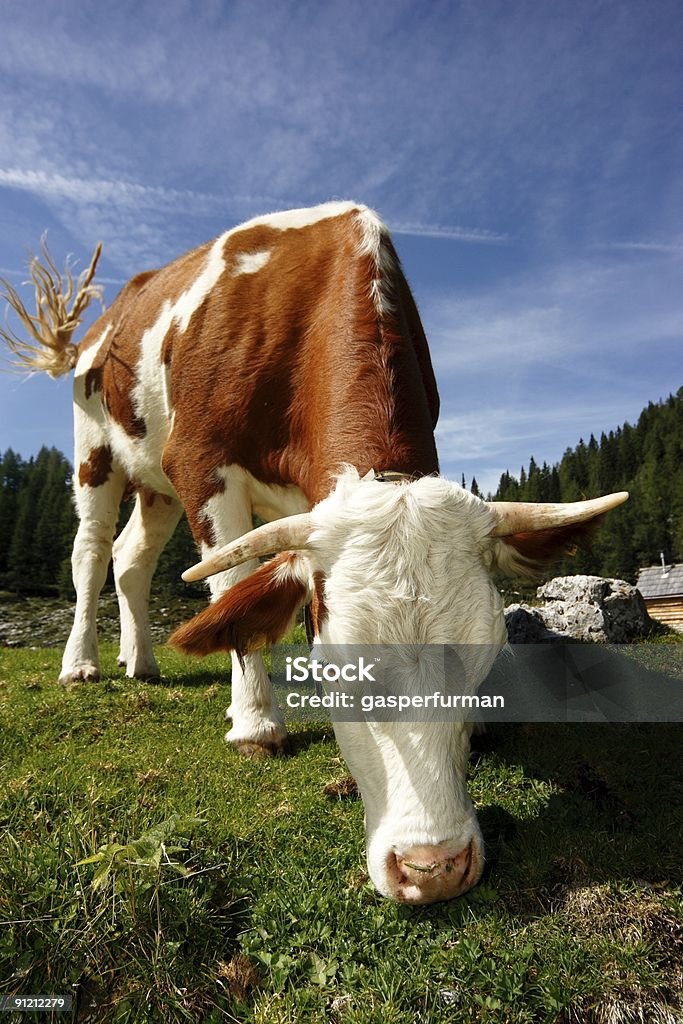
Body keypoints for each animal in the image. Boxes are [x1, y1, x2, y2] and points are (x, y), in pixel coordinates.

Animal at [1, 201, 630, 905]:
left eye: (481, 661)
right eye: (340, 673)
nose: (433, 869)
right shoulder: (199, 463)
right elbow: (233, 589)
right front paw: (255, 723)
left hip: (154, 482)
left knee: (132, 557)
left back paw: (141, 661)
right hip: (97, 451)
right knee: (90, 551)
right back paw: (81, 664)